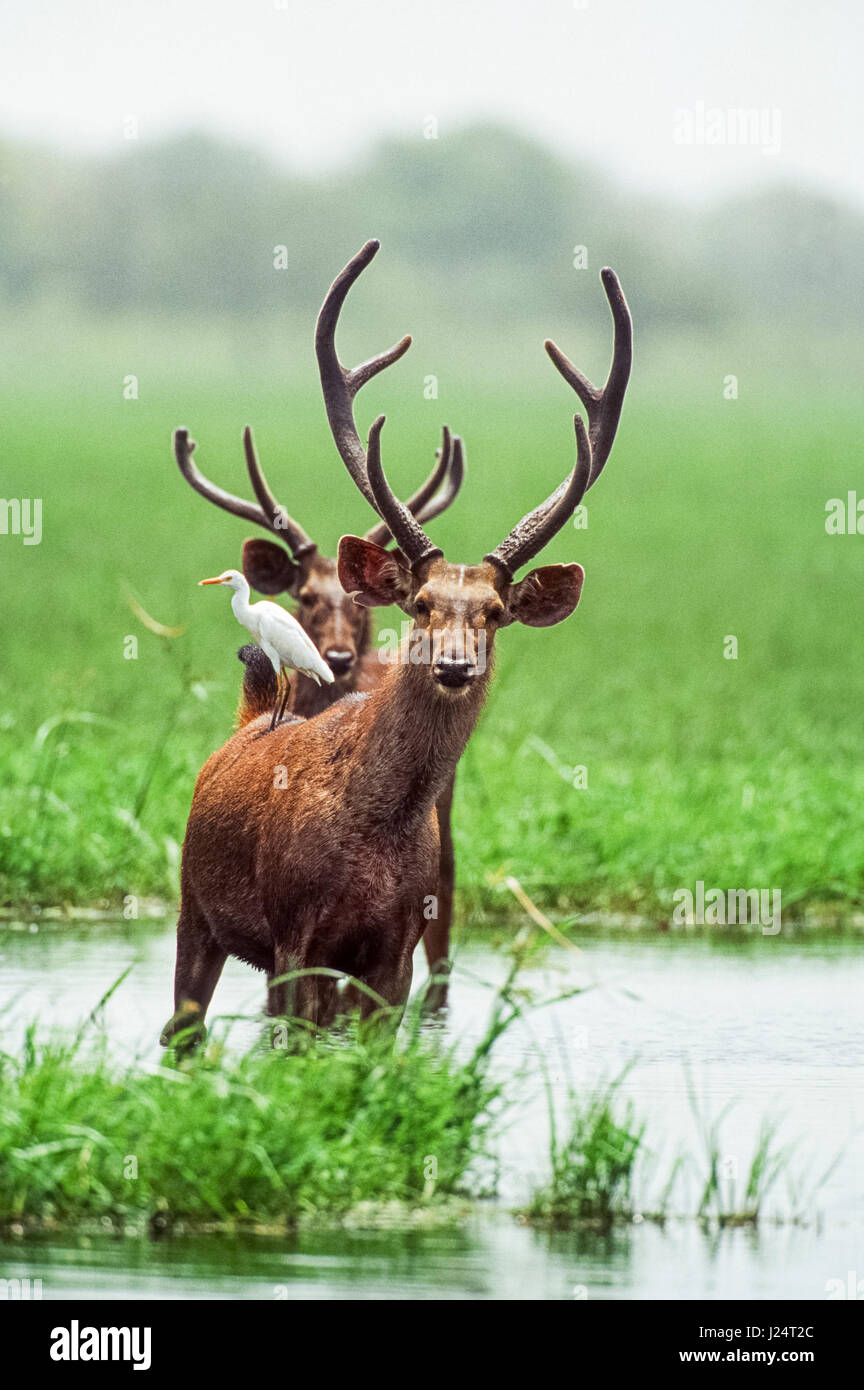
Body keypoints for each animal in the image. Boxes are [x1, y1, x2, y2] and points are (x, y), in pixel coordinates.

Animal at [159, 241, 631, 1046]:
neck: (372, 837)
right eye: (420, 602)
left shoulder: (392, 957)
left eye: (495, 611)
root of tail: (245, 723)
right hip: (197, 910)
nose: (454, 665)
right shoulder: (294, 939)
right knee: (181, 1030)